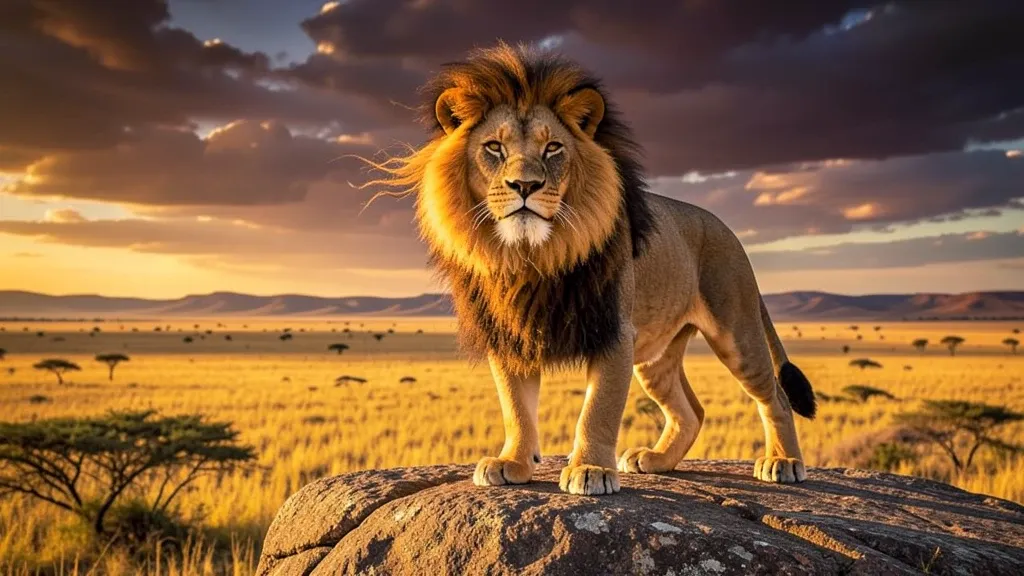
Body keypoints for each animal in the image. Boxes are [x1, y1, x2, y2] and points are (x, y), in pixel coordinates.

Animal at [363, 43, 816, 495]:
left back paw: (783, 462)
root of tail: (728, 230)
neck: (532, 255)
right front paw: (513, 462)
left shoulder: (614, 330)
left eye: (553, 148)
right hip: (656, 357)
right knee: (692, 411)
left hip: (735, 332)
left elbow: (598, 408)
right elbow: (515, 407)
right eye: (494, 147)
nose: (524, 186)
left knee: (774, 396)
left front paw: (591, 470)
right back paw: (656, 460)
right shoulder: (511, 333)